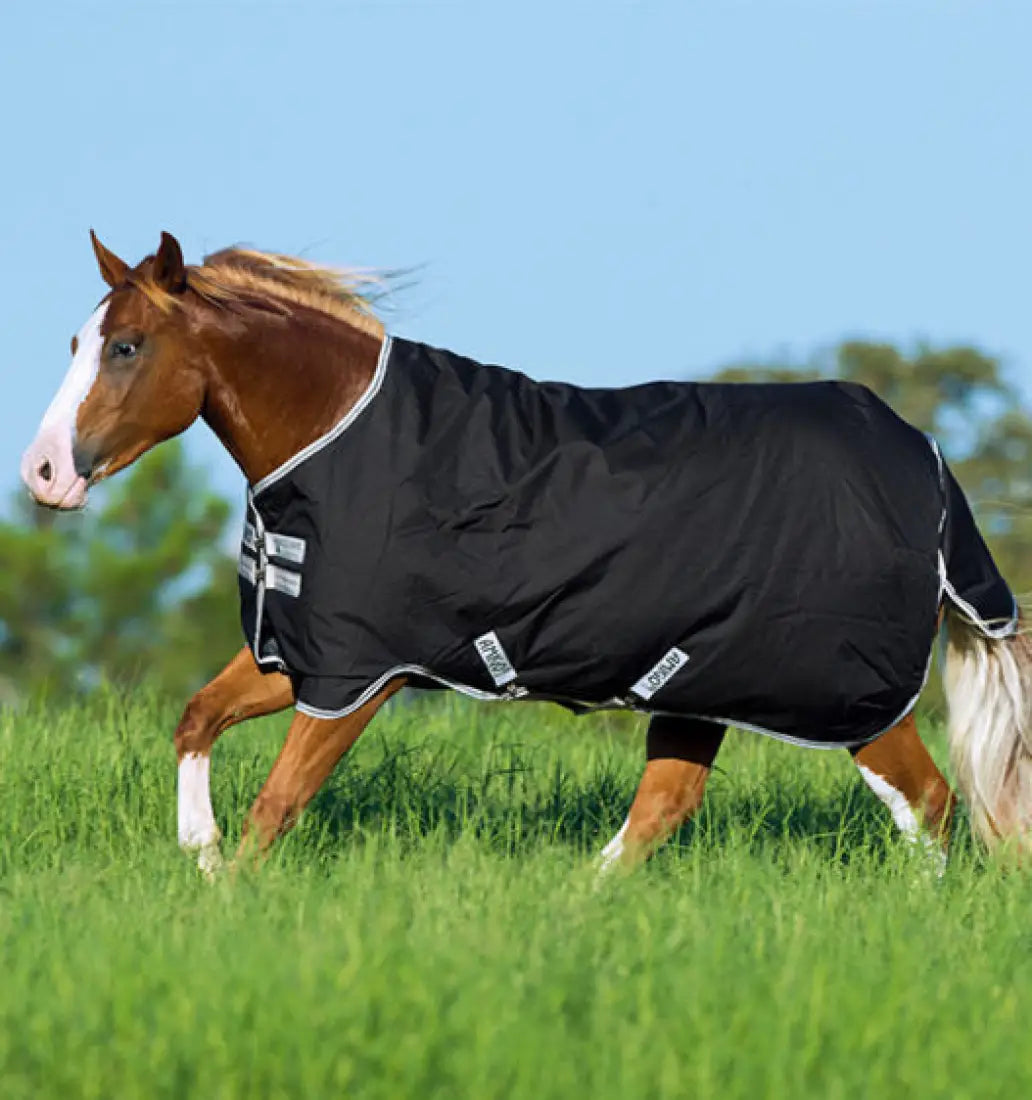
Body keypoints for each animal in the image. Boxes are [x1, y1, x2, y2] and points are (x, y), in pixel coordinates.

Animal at [20, 231, 1032, 876]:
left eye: (125, 346)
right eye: (75, 340)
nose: (43, 473)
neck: (341, 436)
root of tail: (923, 458)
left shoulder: (361, 671)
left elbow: (277, 807)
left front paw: (226, 895)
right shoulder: (304, 654)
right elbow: (197, 719)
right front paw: (198, 856)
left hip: (845, 695)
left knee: (932, 806)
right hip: (697, 684)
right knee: (661, 812)